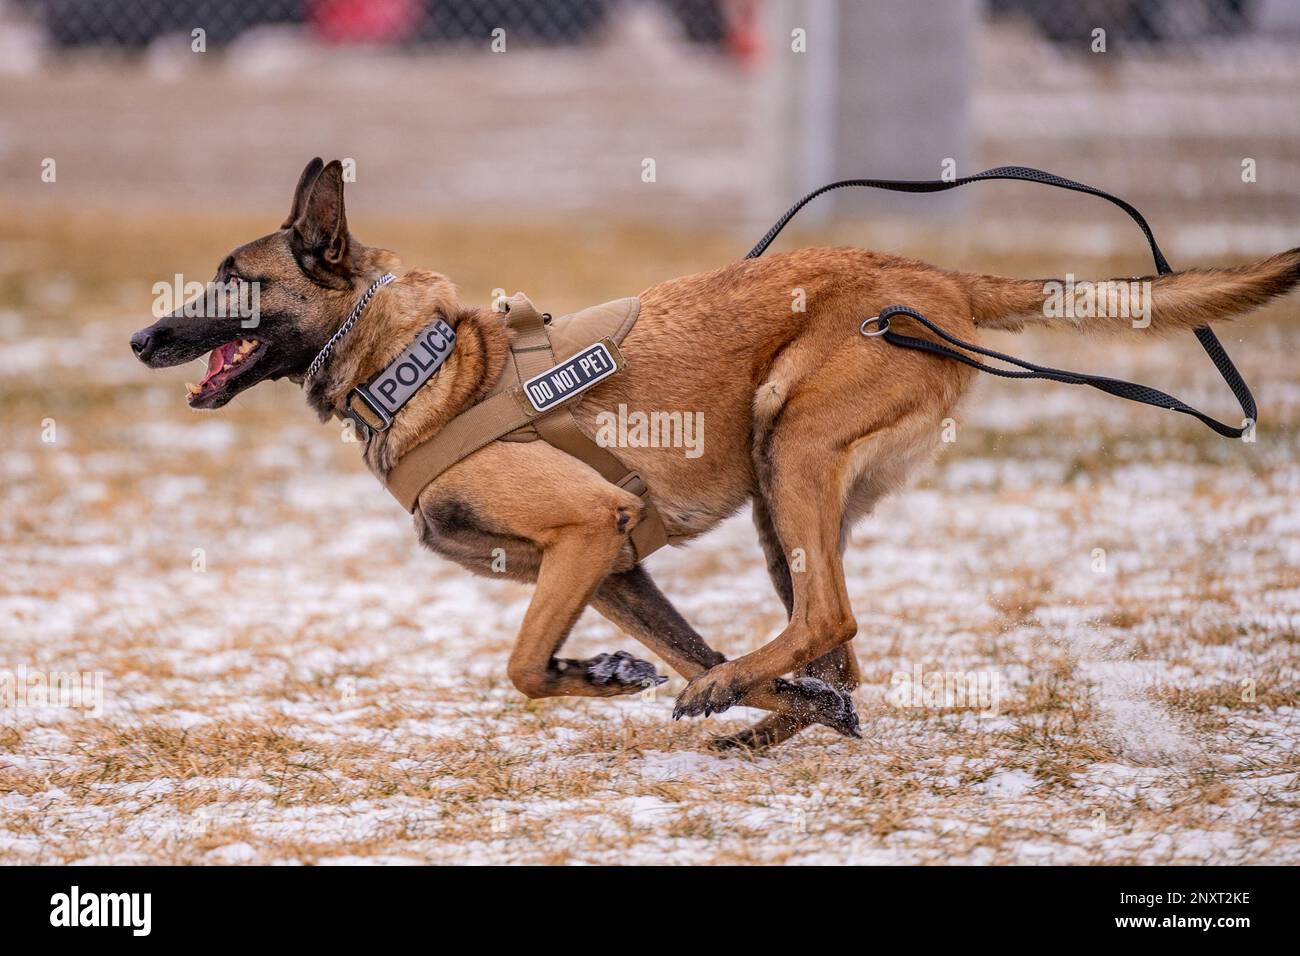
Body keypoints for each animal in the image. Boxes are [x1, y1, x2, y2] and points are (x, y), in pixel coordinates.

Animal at [131, 160, 1300, 749]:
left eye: (233, 280)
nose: (144, 338)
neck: (420, 364)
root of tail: (935, 278)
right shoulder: (612, 567)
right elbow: (659, 654)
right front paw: (655, 679)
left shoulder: (585, 534)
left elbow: (524, 667)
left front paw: (624, 678)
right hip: (789, 504)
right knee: (834, 646)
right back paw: (790, 717)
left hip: (791, 445)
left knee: (830, 620)